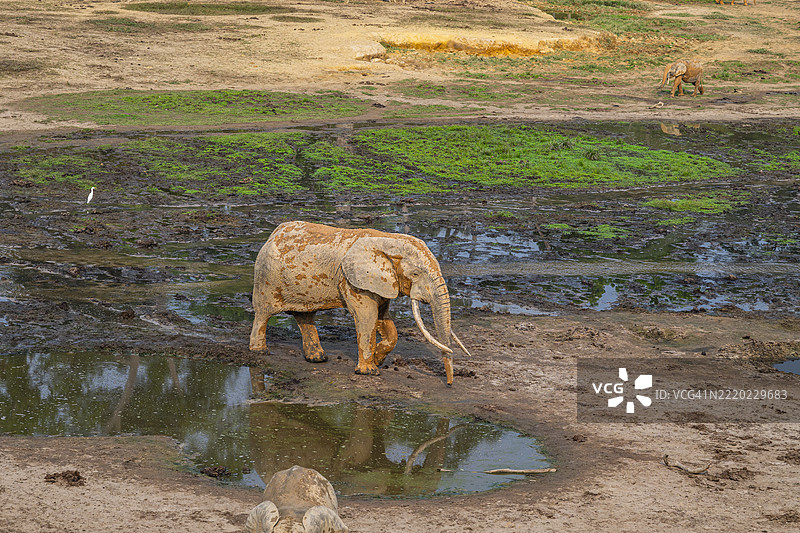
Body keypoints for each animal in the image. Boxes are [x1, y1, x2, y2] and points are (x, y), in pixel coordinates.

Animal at [249, 221, 471, 385]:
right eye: (415, 274)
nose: (449, 384)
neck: (388, 241)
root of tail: (272, 235)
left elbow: (385, 321)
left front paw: (379, 360)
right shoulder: (352, 282)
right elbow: (367, 317)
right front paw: (370, 372)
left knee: (305, 316)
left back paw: (317, 359)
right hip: (266, 276)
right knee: (263, 313)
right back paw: (259, 351)